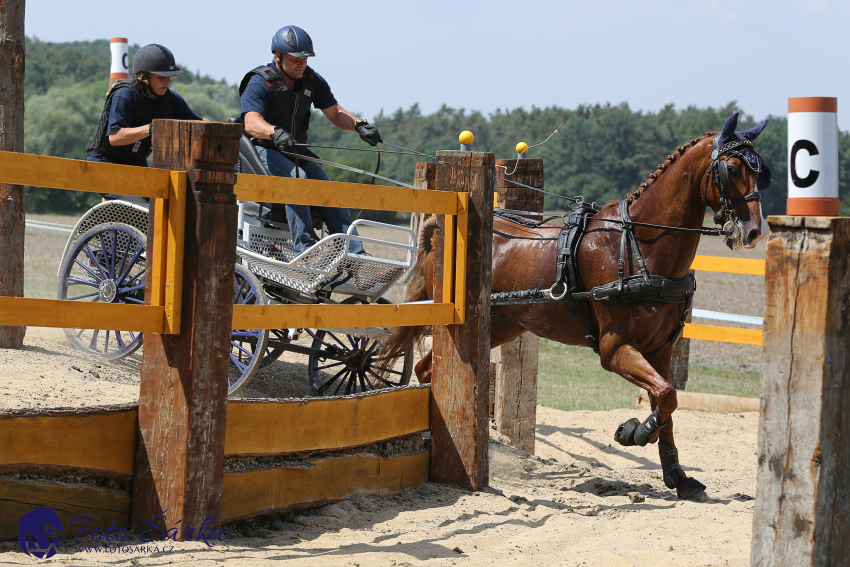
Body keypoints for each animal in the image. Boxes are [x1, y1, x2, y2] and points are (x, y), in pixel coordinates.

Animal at [382, 112, 768, 502]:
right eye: (731, 169)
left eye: (761, 171)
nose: (753, 231)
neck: (639, 247)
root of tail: (438, 237)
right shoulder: (614, 350)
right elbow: (666, 395)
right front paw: (634, 431)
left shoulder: (660, 349)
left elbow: (667, 401)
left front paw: (677, 474)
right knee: (432, 370)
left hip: (500, 326)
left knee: (427, 369)